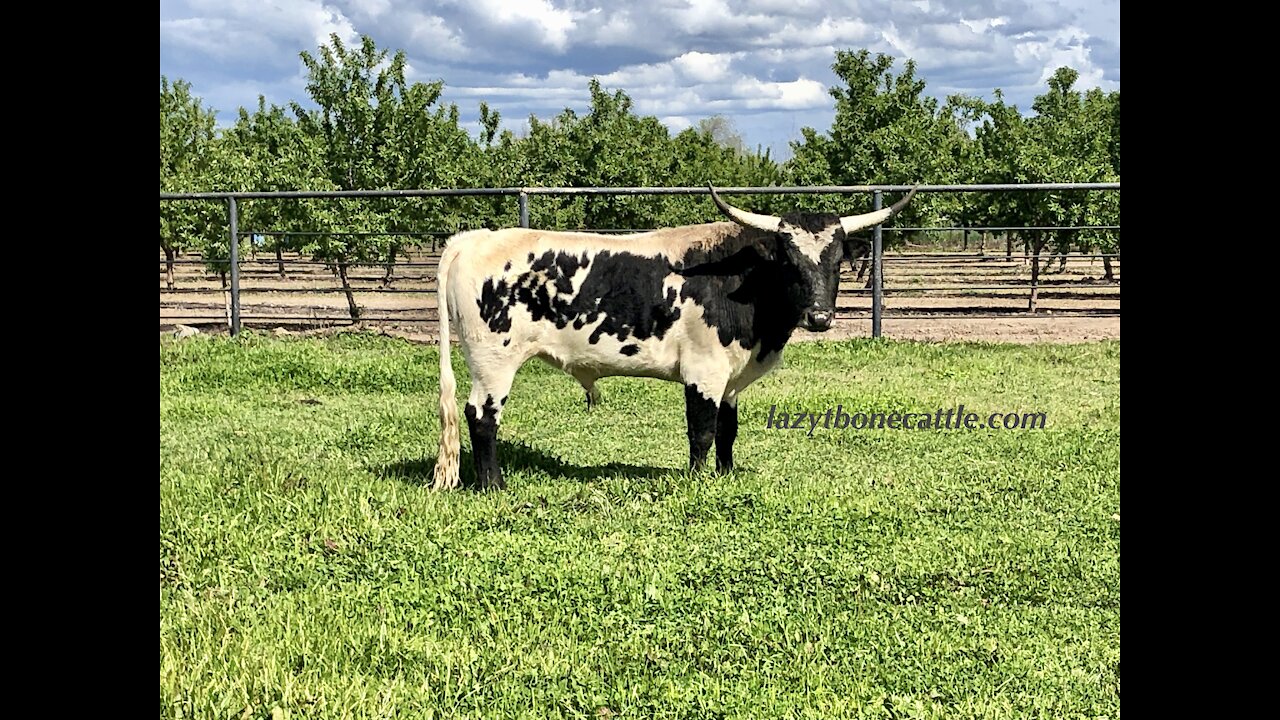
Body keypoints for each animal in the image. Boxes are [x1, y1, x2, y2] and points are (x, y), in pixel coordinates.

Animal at [435, 184, 916, 486]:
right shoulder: (703, 371)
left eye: (836, 261)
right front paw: (698, 479)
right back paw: (494, 484)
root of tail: (473, 239)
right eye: (789, 260)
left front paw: (725, 474)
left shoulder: (730, 379)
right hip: (493, 362)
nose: (818, 317)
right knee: (481, 417)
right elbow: (701, 431)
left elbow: (727, 430)